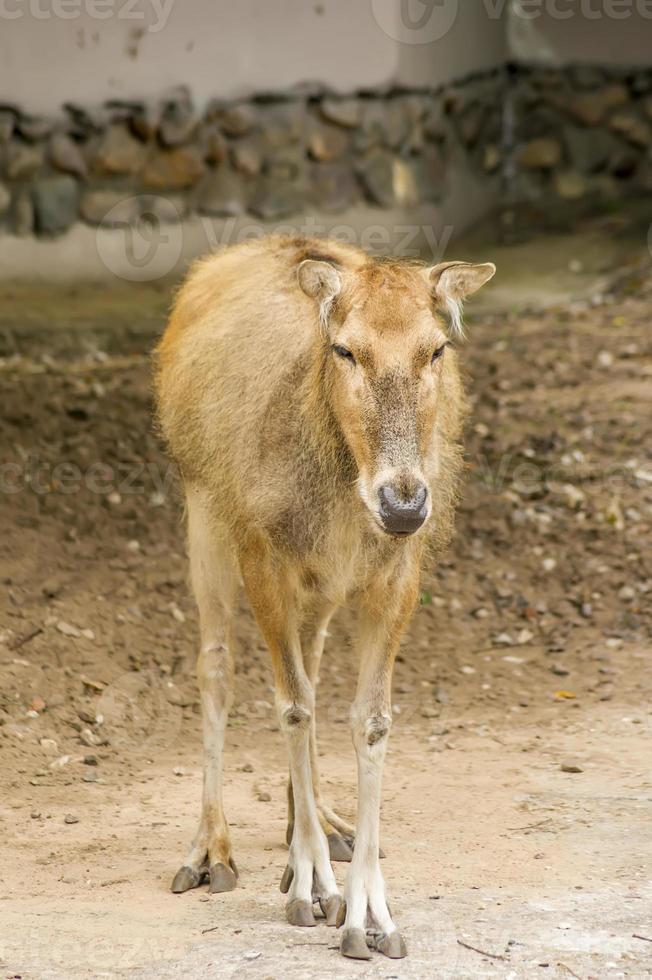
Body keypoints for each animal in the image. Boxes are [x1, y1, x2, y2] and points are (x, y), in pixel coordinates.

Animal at [155, 234, 494, 960]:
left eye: (436, 348)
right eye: (344, 348)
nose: (404, 503)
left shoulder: (393, 574)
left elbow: (366, 718)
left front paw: (370, 914)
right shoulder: (262, 555)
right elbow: (290, 707)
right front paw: (312, 889)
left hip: (319, 592)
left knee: (306, 669)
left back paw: (320, 825)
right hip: (204, 514)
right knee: (217, 665)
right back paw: (211, 850)